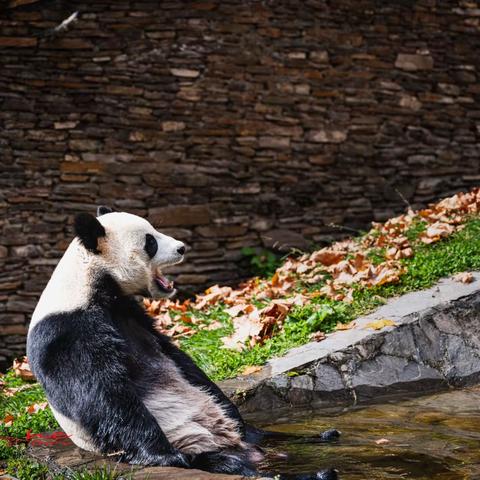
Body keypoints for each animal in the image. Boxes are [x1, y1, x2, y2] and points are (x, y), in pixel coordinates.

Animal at [26, 207, 340, 480]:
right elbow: (104, 394)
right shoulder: (69, 332)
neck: (92, 281)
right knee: (228, 465)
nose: (181, 248)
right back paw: (312, 473)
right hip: (193, 442)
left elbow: (180, 359)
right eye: (150, 241)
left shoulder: (133, 315)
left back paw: (322, 437)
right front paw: (163, 456)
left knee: (262, 433)